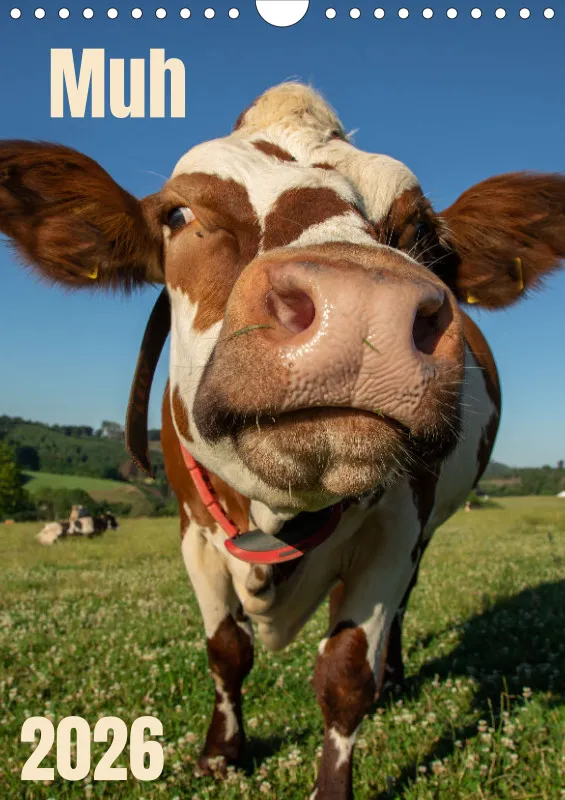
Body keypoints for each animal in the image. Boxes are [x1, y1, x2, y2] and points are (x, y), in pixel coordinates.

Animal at [2, 82, 564, 797]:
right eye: (179, 214)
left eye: (421, 232)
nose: (361, 306)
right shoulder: (192, 530)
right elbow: (227, 650)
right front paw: (221, 752)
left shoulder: (398, 527)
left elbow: (345, 675)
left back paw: (395, 674)